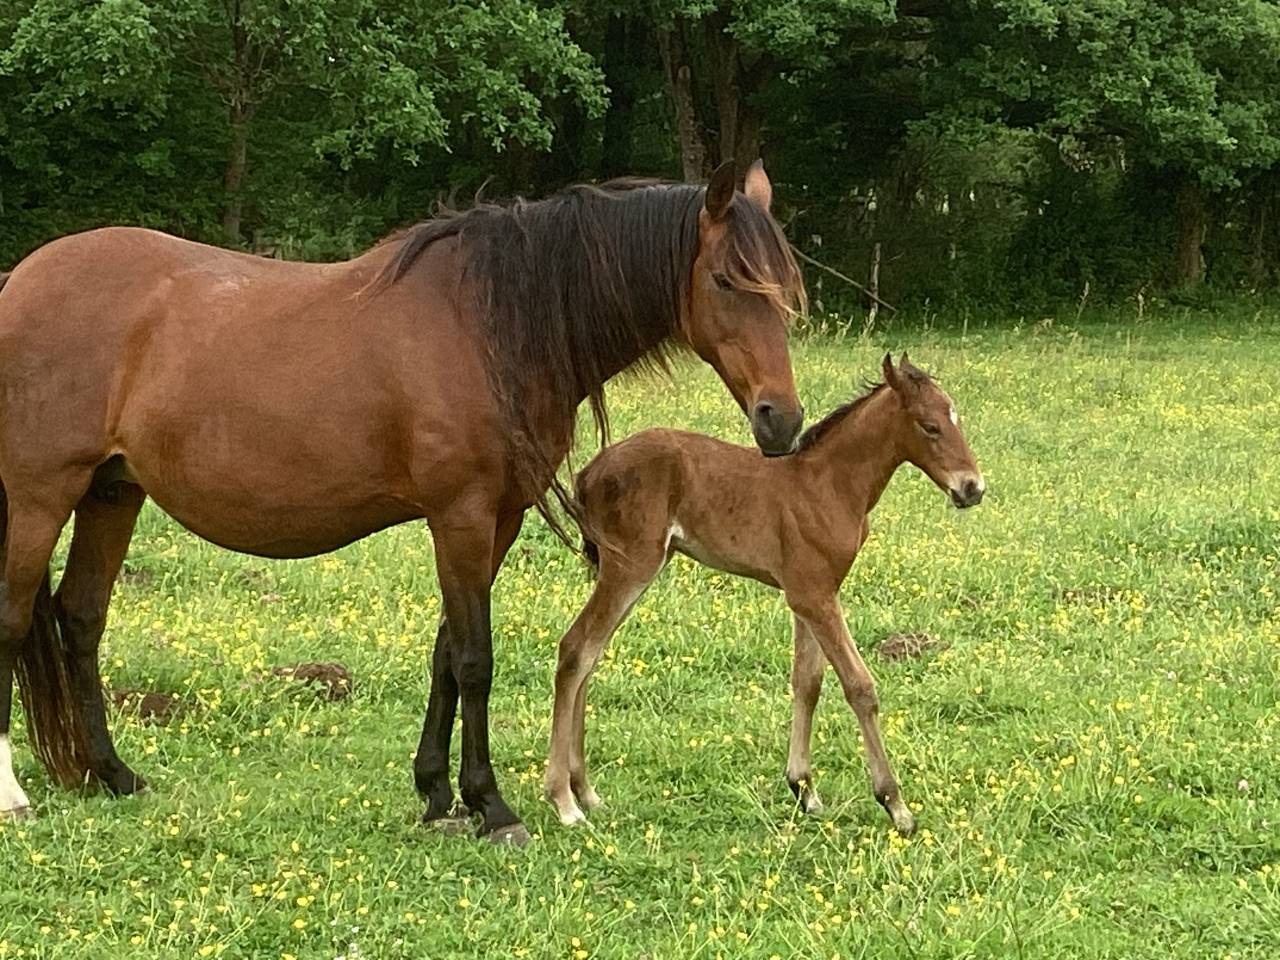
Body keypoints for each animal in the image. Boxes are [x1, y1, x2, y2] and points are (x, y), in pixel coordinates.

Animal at [0, 161, 807, 844]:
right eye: (727, 280)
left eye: (786, 286)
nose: (783, 421)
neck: (490, 326)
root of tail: (21, 282)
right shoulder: (461, 515)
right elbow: (476, 657)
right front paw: (492, 806)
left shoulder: (498, 520)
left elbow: (446, 651)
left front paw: (437, 794)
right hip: (39, 497)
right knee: (13, 623)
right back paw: (15, 796)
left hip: (112, 493)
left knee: (81, 619)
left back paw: (113, 775)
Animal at [544, 353, 984, 835]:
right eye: (929, 426)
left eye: (955, 417)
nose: (972, 488)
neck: (829, 484)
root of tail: (588, 472)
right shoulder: (814, 596)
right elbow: (860, 686)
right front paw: (896, 805)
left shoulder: (811, 593)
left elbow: (808, 682)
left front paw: (804, 790)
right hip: (631, 567)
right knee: (577, 649)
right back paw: (564, 800)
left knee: (590, 654)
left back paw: (585, 791)